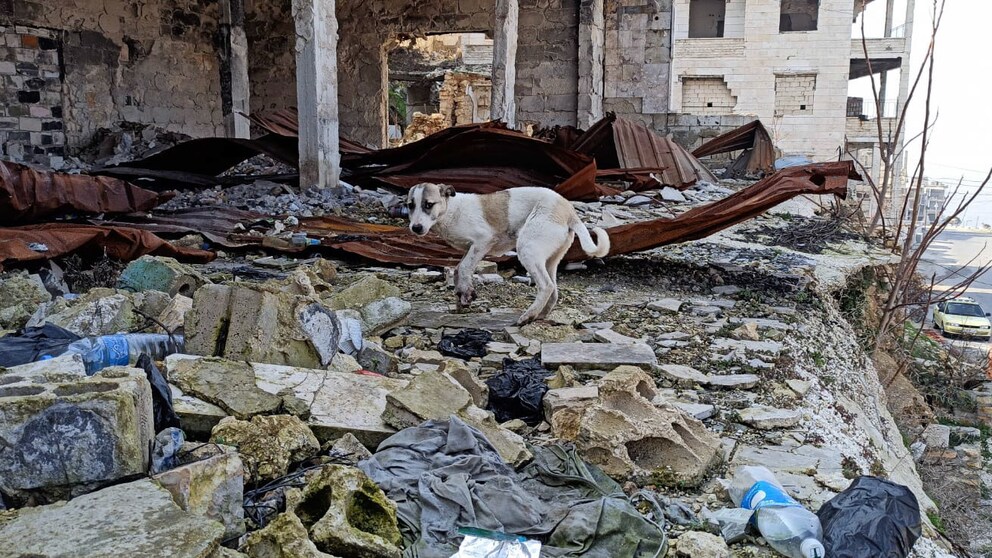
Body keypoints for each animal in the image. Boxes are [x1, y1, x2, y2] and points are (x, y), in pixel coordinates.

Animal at [404, 184, 608, 324]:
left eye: (428, 205)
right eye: (410, 206)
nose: (415, 228)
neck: (451, 210)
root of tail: (569, 211)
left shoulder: (482, 241)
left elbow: (463, 268)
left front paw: (466, 294)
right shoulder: (469, 249)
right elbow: (458, 270)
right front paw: (462, 298)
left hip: (527, 249)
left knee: (546, 286)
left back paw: (528, 315)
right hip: (549, 260)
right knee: (554, 291)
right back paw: (540, 314)